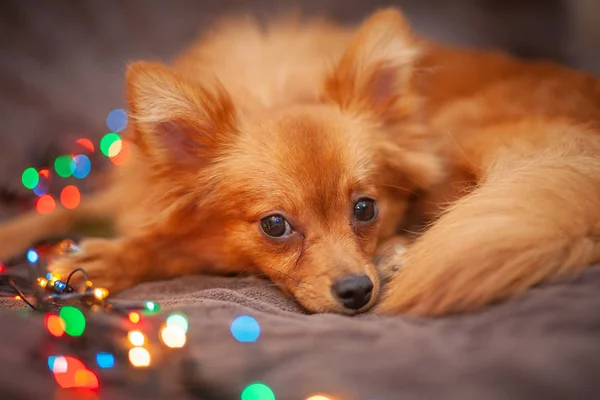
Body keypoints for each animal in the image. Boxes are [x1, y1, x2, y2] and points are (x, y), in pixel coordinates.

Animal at [1, 7, 600, 318]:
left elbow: (165, 247)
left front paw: (110, 258)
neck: (277, 94)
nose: (357, 292)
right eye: (275, 226)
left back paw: (404, 254)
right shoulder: (124, 193)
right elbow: (55, 211)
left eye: (366, 209)